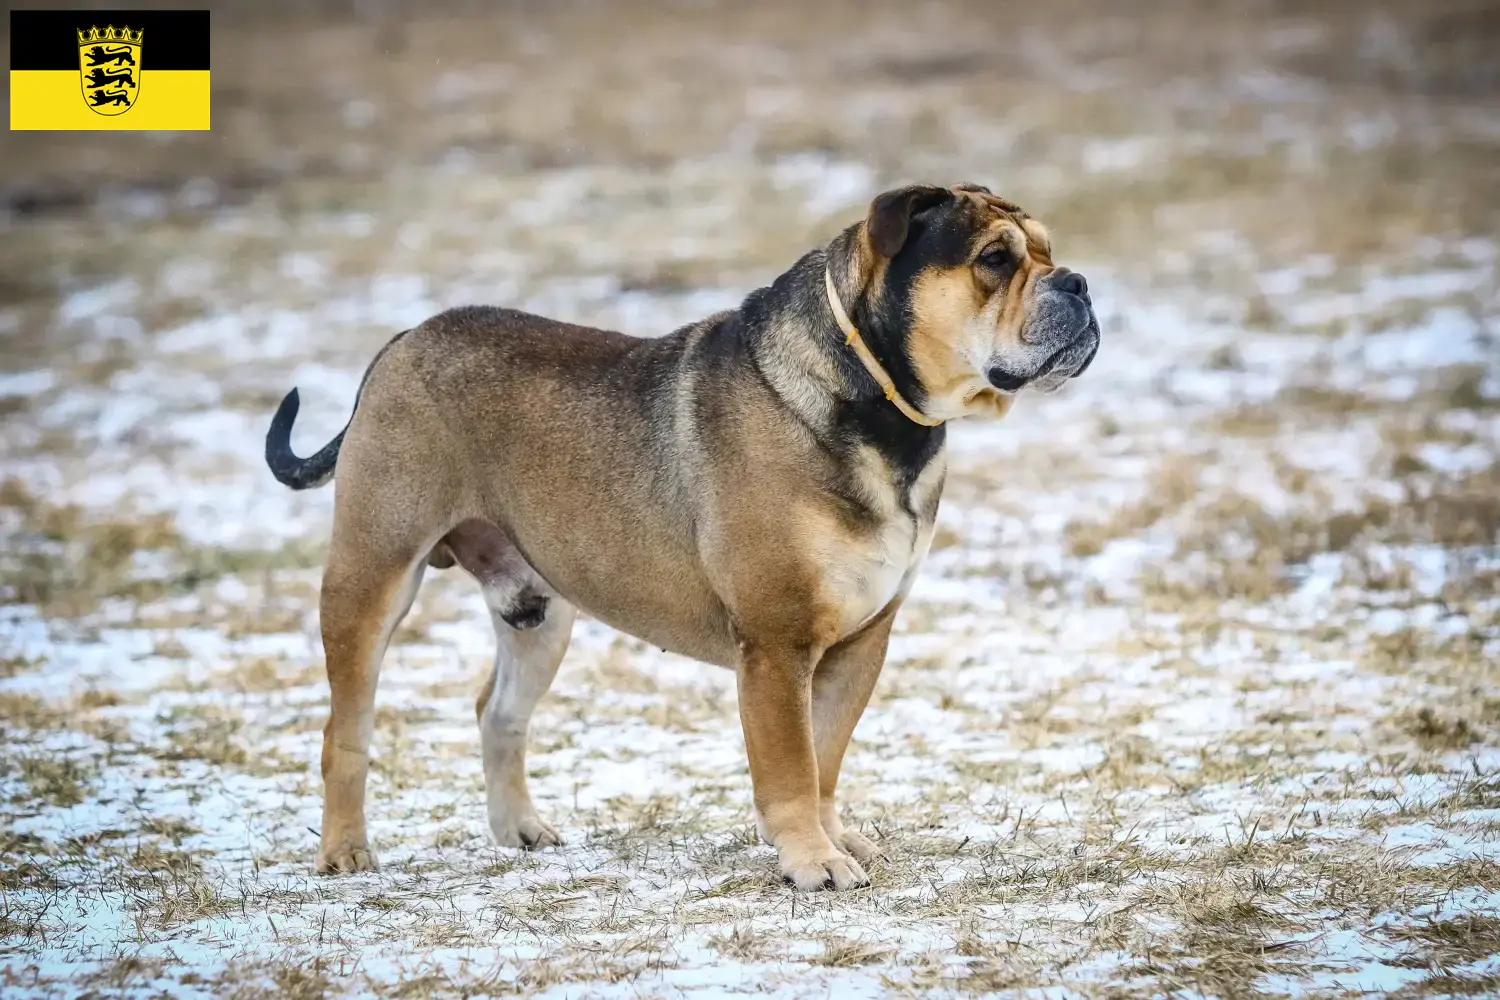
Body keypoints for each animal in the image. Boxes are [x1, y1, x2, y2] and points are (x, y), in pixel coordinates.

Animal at [264, 183, 1098, 893]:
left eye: (1048, 250)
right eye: (994, 259)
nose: (1081, 284)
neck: (879, 405)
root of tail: (400, 342)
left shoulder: (862, 641)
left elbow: (826, 758)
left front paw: (835, 837)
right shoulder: (776, 647)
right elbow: (792, 767)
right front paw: (812, 861)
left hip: (539, 610)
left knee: (498, 713)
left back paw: (521, 831)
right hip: (373, 572)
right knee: (345, 727)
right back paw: (345, 852)